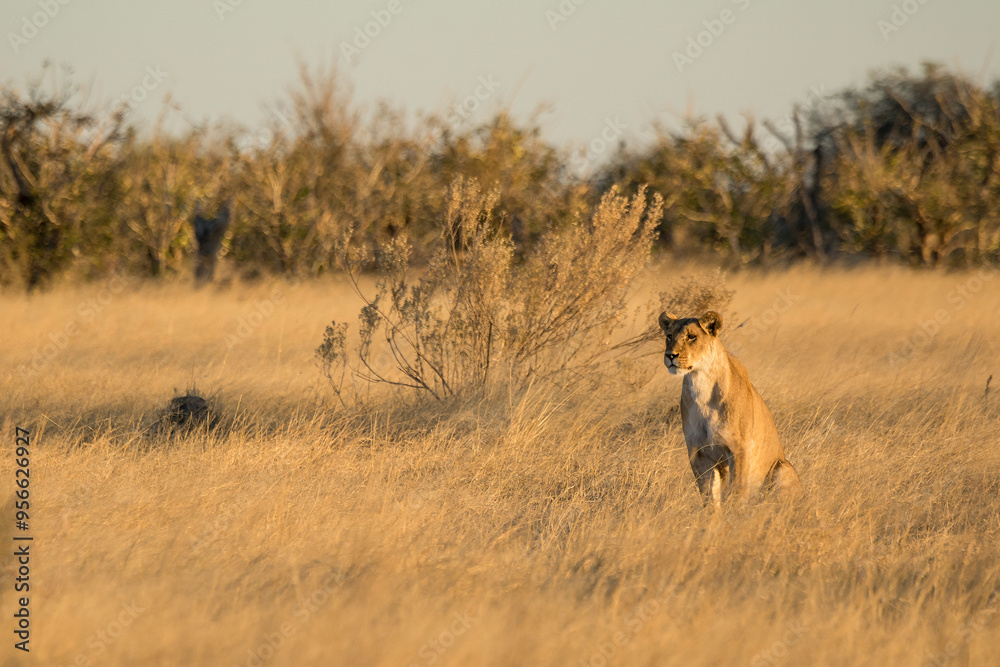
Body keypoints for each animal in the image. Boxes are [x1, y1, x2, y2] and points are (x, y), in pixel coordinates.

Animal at [658, 310, 801, 505]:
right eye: (669, 336)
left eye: (691, 337)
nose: (670, 355)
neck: (700, 384)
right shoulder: (698, 454)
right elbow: (709, 498)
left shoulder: (739, 450)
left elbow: (736, 494)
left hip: (783, 468)